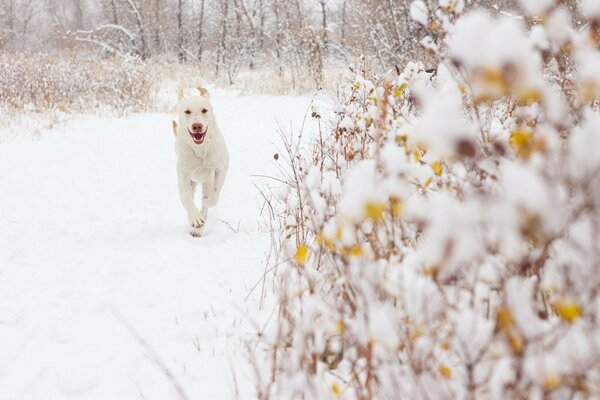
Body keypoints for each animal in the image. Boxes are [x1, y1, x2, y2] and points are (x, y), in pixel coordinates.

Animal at [175, 87, 231, 236]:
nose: (197, 126)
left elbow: (214, 195)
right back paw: (196, 225)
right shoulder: (183, 177)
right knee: (186, 199)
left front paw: (207, 202)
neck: (200, 150)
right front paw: (195, 219)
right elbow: (187, 199)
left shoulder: (221, 169)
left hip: (207, 181)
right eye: (187, 111)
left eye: (204, 110)